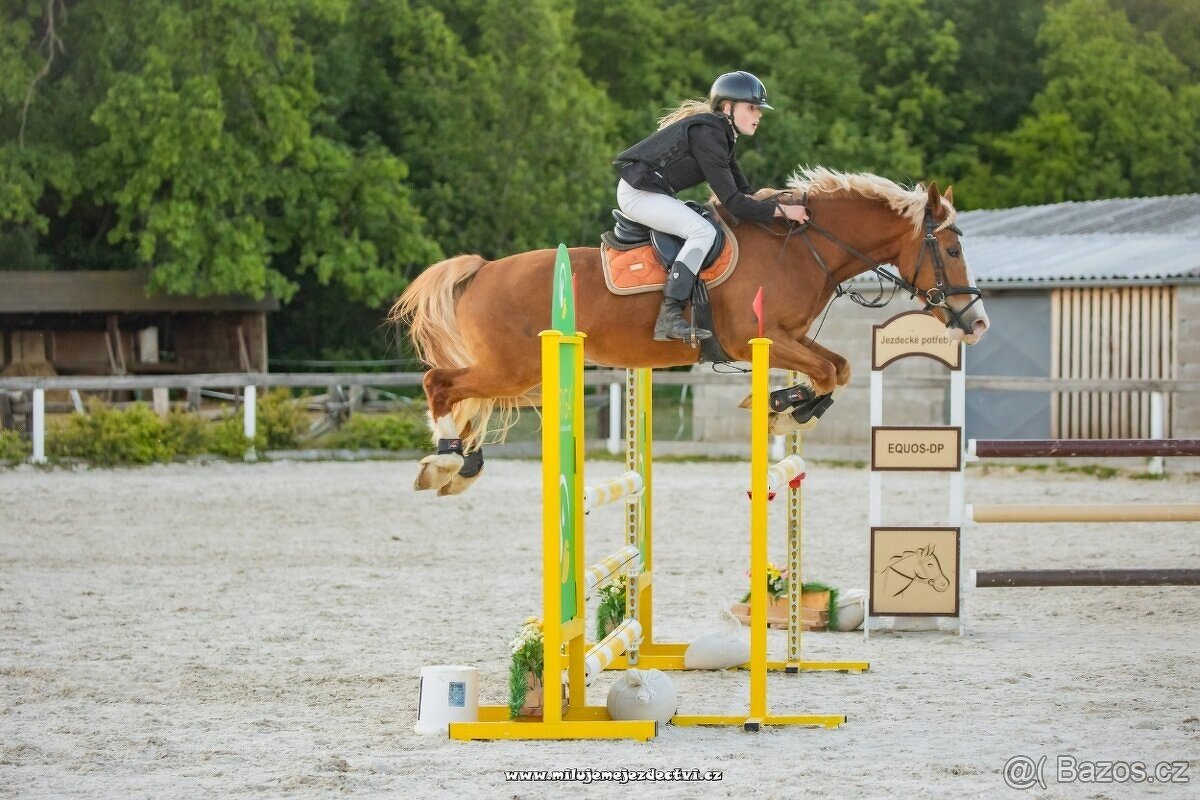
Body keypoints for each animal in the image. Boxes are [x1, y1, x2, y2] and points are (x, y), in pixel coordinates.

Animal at [391, 167, 990, 495]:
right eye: (951, 249)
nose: (978, 323)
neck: (803, 247)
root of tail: (482, 271)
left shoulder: (791, 337)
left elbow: (836, 370)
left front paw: (784, 407)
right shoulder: (761, 337)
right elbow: (827, 371)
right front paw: (780, 408)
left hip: (511, 372)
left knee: (463, 401)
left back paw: (459, 465)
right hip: (512, 369)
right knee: (440, 384)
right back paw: (444, 460)